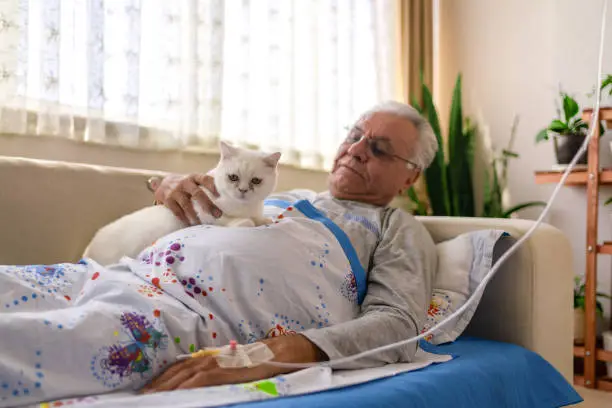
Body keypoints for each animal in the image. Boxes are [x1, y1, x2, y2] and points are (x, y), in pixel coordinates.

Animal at [82, 142, 280, 266]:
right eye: (233, 177)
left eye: (256, 181)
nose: (243, 190)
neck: (244, 206)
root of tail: (88, 250)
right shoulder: (205, 212)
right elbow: (235, 220)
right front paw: (247, 221)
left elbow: (258, 217)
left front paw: (264, 220)